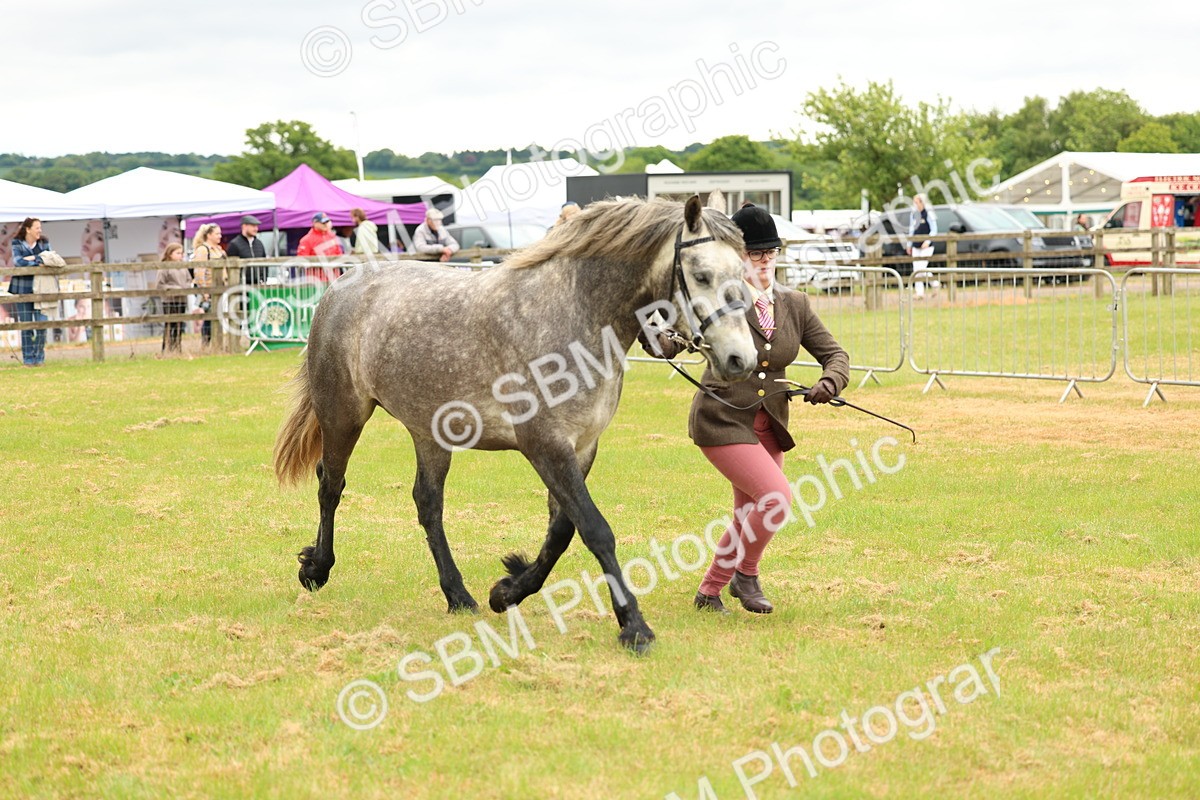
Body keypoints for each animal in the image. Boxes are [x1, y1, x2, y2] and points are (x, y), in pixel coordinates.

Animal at [272, 194, 757, 652]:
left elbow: (562, 530)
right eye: (701, 275)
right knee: (331, 485)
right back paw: (317, 568)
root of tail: (341, 285)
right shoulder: (545, 445)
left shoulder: (582, 447)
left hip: (429, 432)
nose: (741, 359)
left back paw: (458, 595)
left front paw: (508, 589)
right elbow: (595, 529)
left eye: (744, 272)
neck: (572, 315)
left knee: (428, 504)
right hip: (343, 413)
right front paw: (634, 627)